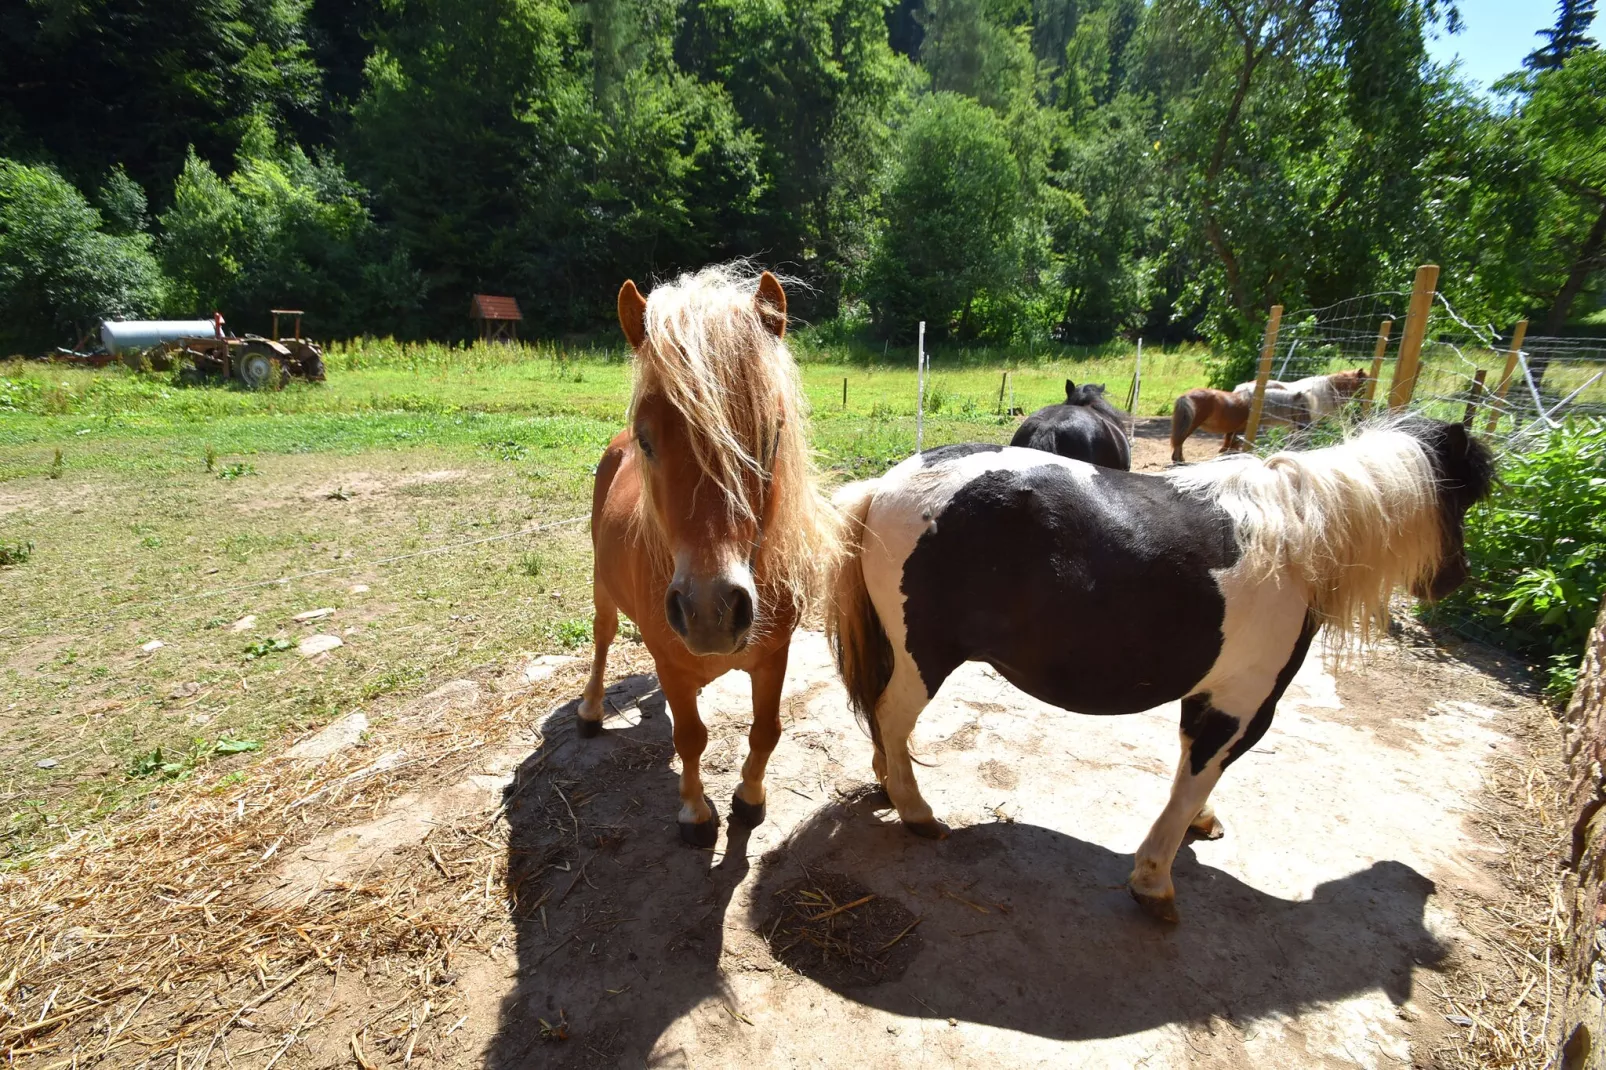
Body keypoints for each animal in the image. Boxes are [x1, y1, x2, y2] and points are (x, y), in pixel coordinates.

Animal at [581, 265, 841, 841]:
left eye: (770, 435)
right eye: (647, 440)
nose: (710, 611)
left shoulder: (773, 658)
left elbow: (766, 730)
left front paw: (749, 797)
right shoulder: (673, 667)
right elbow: (690, 738)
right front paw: (696, 813)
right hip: (602, 587)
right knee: (603, 638)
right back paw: (589, 710)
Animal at [828, 417, 1490, 918]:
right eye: (1464, 499)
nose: (1455, 578)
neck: (1300, 541)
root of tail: (888, 486)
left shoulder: (1210, 695)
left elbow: (1190, 771)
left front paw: (1201, 823)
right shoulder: (1244, 703)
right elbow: (1199, 773)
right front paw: (1154, 880)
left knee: (885, 725)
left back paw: (890, 786)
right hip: (926, 660)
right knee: (892, 717)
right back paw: (917, 812)